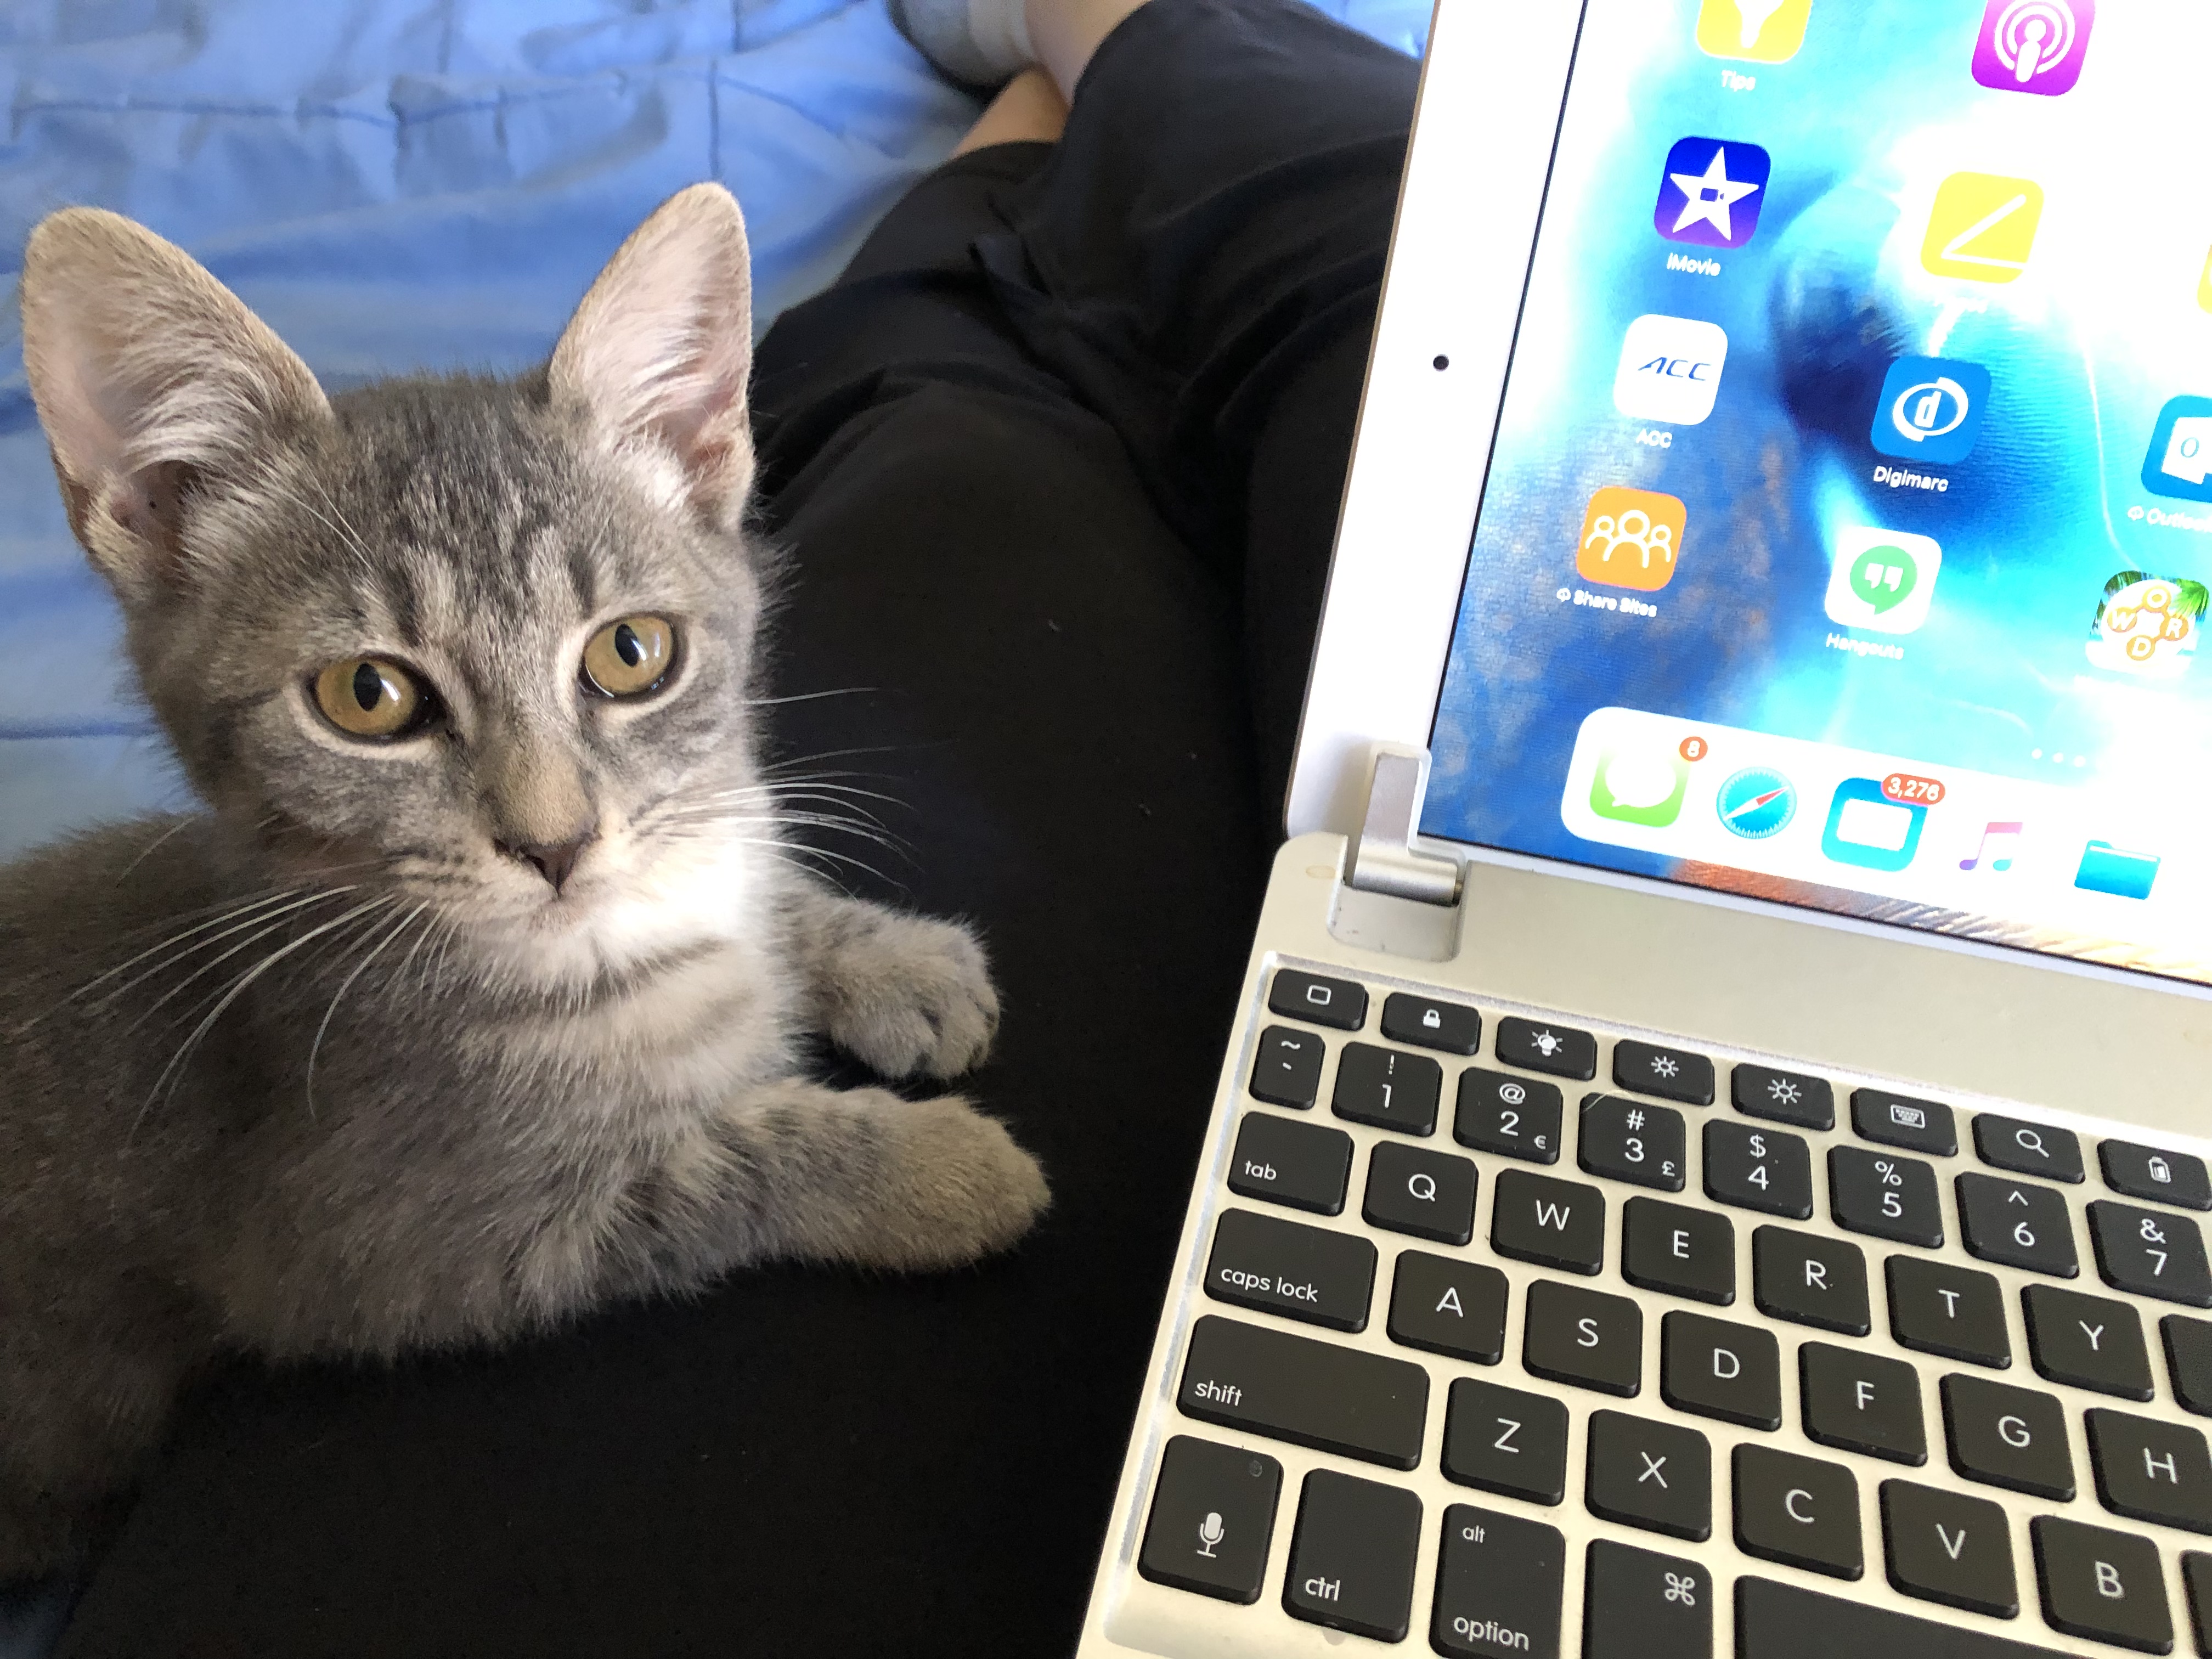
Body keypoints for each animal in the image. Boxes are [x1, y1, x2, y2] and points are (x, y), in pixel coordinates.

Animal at [0, 183, 1050, 1583]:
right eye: (367, 696)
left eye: (631, 654)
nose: (555, 845)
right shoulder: (401, 1249)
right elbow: (717, 1162)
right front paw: (934, 1171)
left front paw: (891, 961)